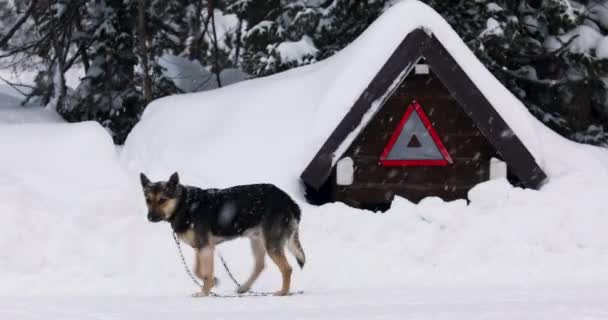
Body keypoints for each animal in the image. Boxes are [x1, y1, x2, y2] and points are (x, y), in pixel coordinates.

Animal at [141, 172, 306, 298]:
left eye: (162, 200)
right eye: (148, 200)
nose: (149, 217)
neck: (184, 205)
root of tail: (289, 201)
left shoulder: (205, 248)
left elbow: (205, 274)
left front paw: (204, 293)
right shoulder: (201, 247)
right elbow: (198, 271)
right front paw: (214, 282)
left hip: (271, 243)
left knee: (287, 269)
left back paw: (283, 292)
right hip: (256, 240)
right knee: (260, 265)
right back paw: (244, 287)